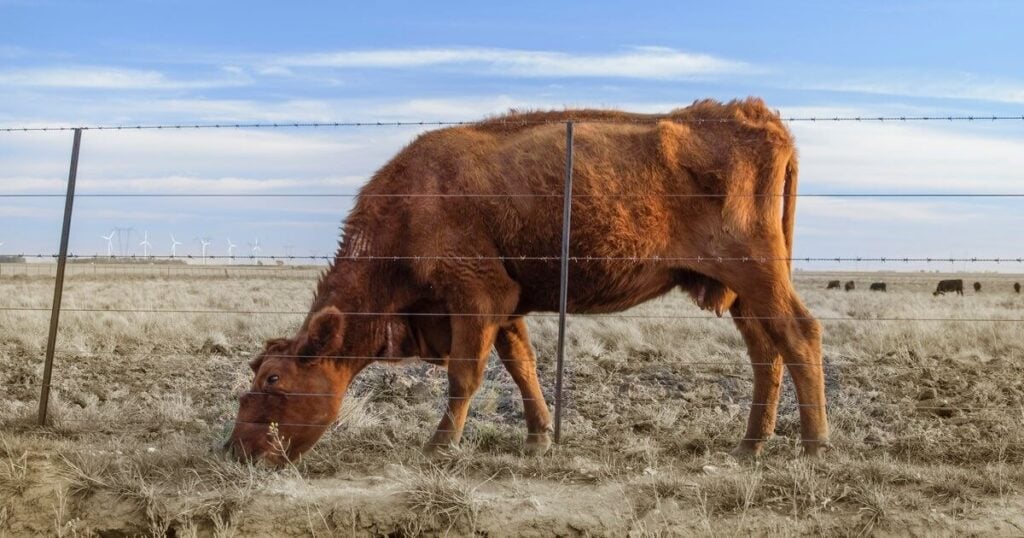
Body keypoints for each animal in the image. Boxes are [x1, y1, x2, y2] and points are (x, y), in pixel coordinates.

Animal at [227, 98, 828, 464]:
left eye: (275, 379)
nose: (233, 450)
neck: (413, 202)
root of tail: (757, 117)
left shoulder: (476, 299)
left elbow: (464, 376)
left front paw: (438, 446)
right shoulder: (507, 305)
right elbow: (522, 366)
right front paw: (539, 437)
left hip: (758, 275)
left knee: (799, 336)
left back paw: (813, 443)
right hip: (741, 293)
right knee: (766, 353)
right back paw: (750, 445)